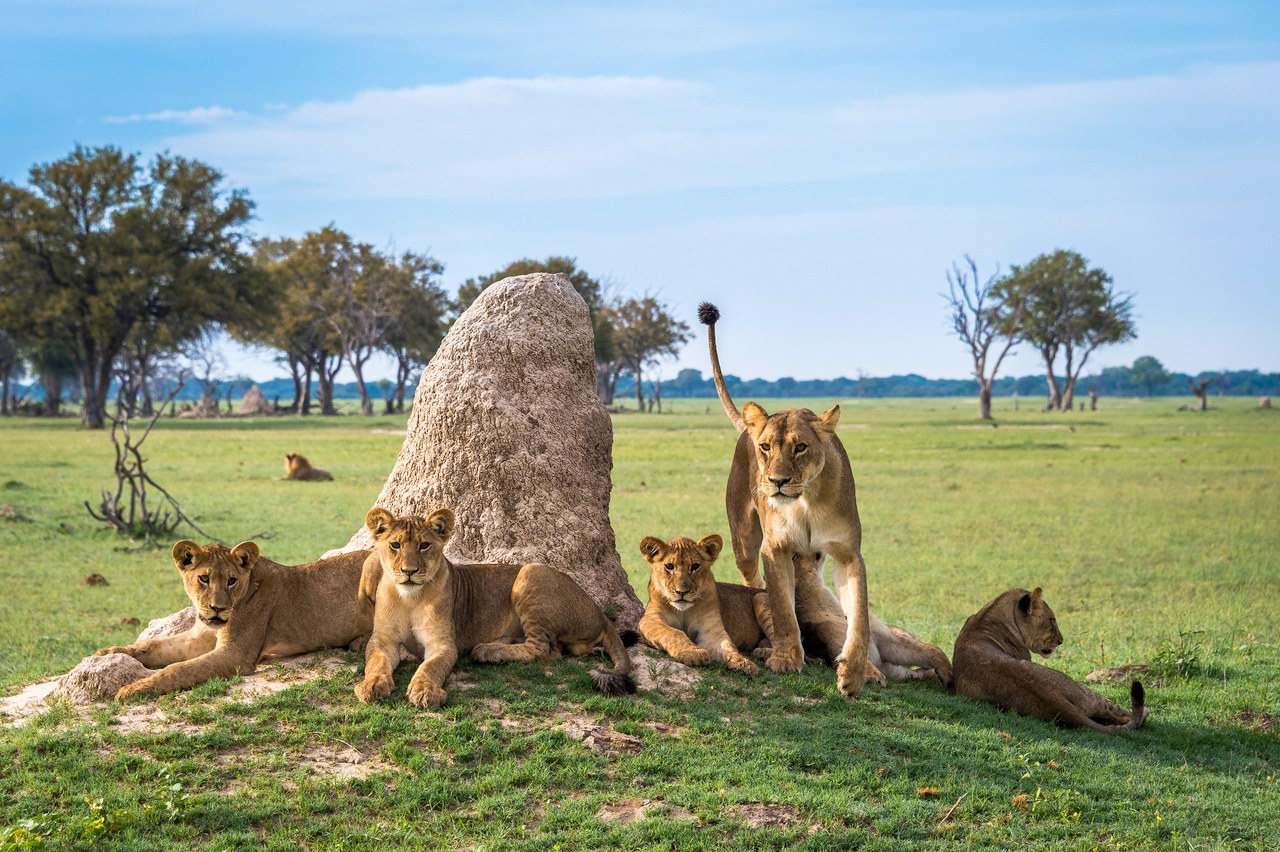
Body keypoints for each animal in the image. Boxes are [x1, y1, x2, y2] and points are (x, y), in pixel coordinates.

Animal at [96, 540, 373, 700]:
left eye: (231, 580)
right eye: (204, 578)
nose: (217, 609)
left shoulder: (236, 654)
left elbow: (179, 669)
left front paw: (133, 689)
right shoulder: (198, 638)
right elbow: (152, 645)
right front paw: (108, 652)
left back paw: (360, 642)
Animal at [354, 507, 636, 708]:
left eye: (425, 545)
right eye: (395, 545)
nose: (409, 571)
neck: (409, 598)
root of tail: (598, 610)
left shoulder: (443, 644)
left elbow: (430, 668)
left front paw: (425, 691)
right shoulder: (383, 640)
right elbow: (376, 662)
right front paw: (371, 685)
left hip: (531, 572)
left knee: (545, 650)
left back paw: (487, 651)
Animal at [637, 533, 775, 674]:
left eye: (695, 566)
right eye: (669, 566)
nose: (682, 592)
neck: (684, 611)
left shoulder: (711, 631)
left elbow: (727, 646)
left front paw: (743, 663)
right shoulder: (649, 620)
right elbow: (674, 632)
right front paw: (692, 653)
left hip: (761, 597)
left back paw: (763, 653)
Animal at [699, 301, 877, 698]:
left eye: (800, 447)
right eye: (766, 447)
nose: (777, 482)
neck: (806, 500)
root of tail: (747, 427)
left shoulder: (848, 554)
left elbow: (858, 617)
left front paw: (857, 672)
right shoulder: (774, 549)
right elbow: (781, 607)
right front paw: (785, 657)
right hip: (744, 540)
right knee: (755, 584)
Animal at [952, 587, 1148, 732]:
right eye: (1052, 620)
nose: (1061, 641)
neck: (986, 618)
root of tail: (1053, 698)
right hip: (1084, 690)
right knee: (1121, 714)